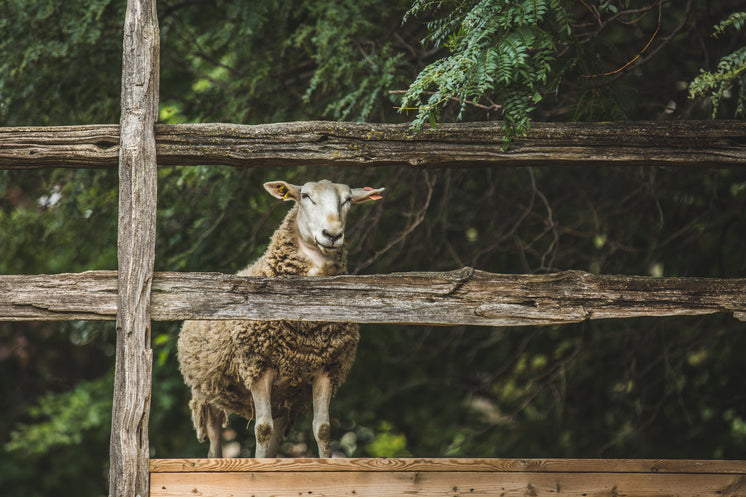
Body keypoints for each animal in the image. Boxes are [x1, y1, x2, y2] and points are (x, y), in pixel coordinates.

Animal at [177, 179, 385, 458]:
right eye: (305, 196)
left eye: (348, 200)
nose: (332, 235)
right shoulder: (257, 366)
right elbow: (262, 429)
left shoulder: (327, 369)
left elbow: (323, 429)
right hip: (208, 393)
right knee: (215, 443)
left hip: (284, 398)